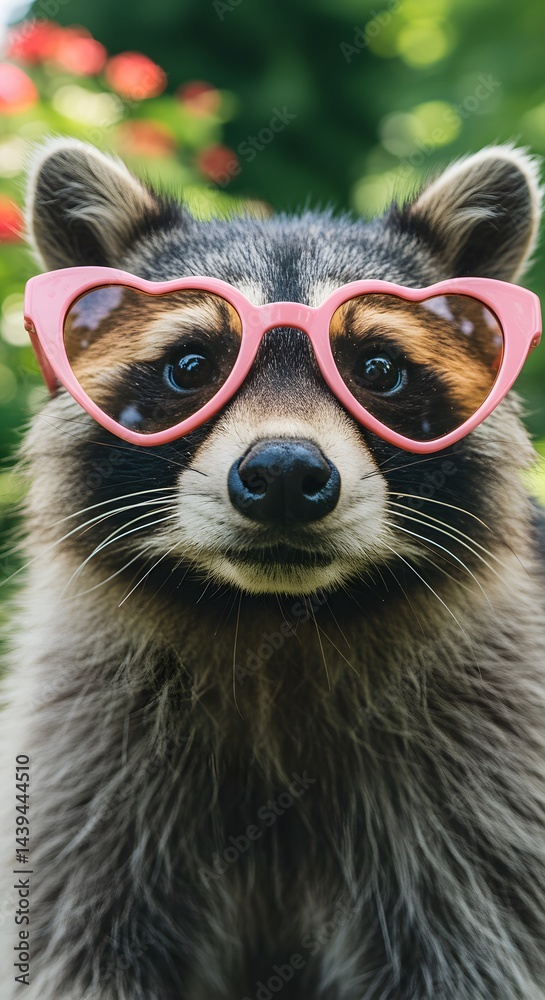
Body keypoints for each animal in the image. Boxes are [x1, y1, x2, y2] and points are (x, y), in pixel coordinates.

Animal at [1, 138, 545, 1000]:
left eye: (377, 370)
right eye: (191, 366)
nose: (286, 473)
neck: (272, 624)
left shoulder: (487, 784)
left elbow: (474, 950)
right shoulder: (86, 773)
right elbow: (77, 944)